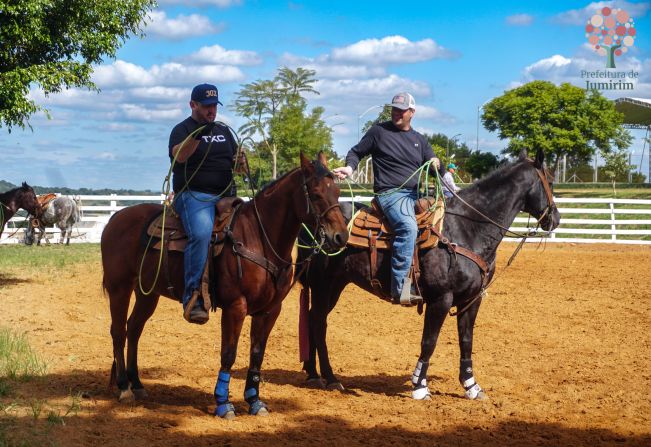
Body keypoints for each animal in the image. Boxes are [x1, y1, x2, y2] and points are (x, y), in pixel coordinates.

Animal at [100, 153, 352, 420]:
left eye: (337, 191)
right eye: (315, 193)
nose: (341, 237)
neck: (259, 238)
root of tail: (115, 219)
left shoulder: (270, 310)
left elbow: (257, 354)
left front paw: (255, 401)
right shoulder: (235, 306)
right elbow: (229, 354)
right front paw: (223, 403)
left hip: (147, 293)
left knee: (134, 329)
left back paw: (137, 384)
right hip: (119, 288)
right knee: (118, 331)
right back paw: (124, 388)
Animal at [300, 149, 560, 400]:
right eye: (550, 180)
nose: (555, 219)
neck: (466, 229)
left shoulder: (471, 300)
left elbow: (466, 341)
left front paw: (471, 386)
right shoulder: (440, 299)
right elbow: (429, 342)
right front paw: (419, 386)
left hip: (335, 285)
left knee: (313, 319)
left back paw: (314, 374)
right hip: (323, 284)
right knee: (318, 321)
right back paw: (330, 377)